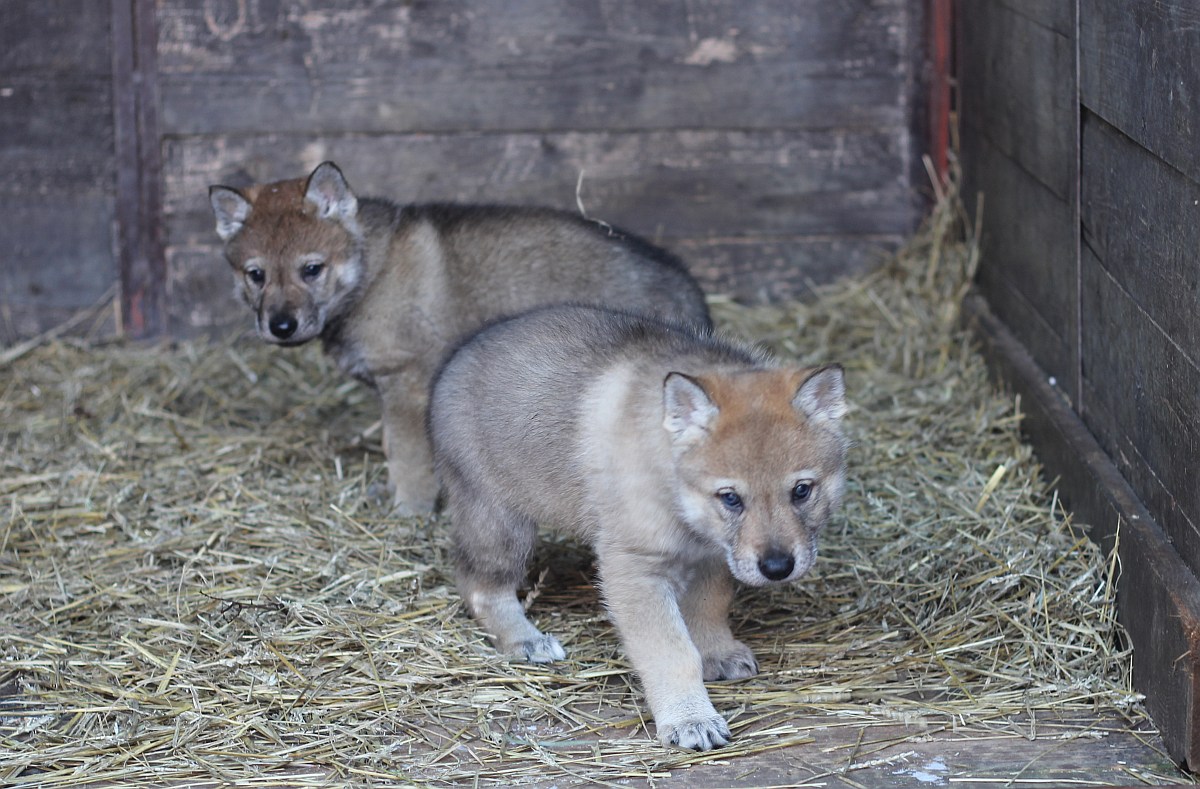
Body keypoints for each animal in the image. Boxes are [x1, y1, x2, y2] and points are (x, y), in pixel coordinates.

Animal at [208, 163, 710, 513]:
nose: (281, 326)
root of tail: (687, 291)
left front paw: (409, 509)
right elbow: (392, 448)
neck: (371, 270)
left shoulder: (406, 385)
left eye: (311, 269)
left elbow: (408, 459)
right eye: (256, 275)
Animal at [427, 304, 849, 748]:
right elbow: (672, 651)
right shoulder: (634, 568)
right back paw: (525, 640)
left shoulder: (714, 557)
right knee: (479, 587)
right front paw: (690, 719)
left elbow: (709, 610)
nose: (777, 568)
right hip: (502, 524)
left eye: (801, 490)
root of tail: (454, 360)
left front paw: (717, 653)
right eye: (731, 498)